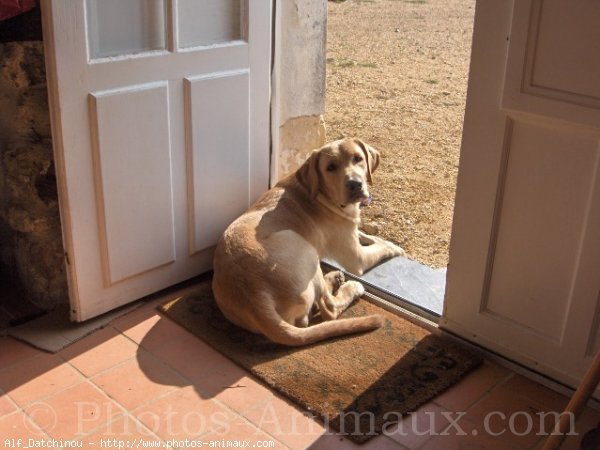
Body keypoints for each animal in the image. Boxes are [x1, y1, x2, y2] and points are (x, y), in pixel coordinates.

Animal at [211, 139, 404, 346]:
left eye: (358, 158)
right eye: (330, 167)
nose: (355, 184)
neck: (321, 193)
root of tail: (255, 298)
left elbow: (367, 235)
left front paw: (372, 233)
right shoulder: (357, 258)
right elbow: (382, 247)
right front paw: (395, 247)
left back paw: (333, 278)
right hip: (304, 248)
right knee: (329, 309)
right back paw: (350, 287)